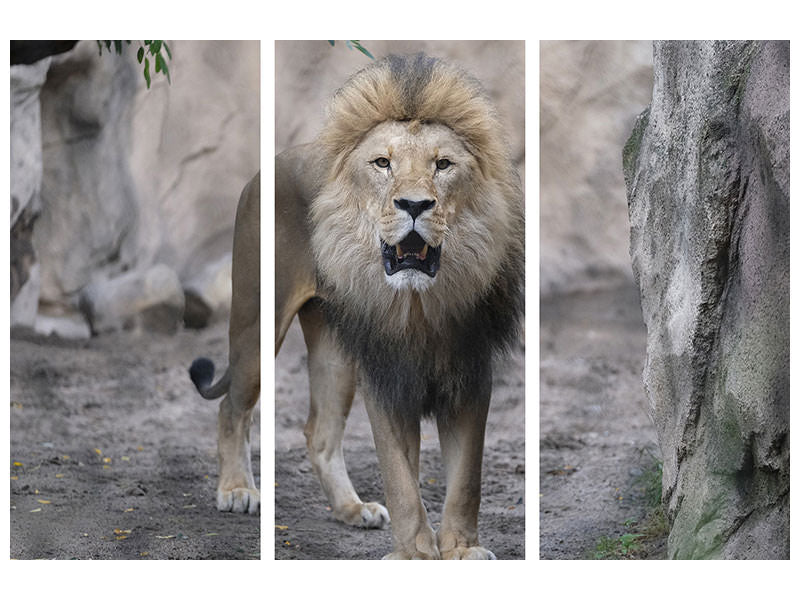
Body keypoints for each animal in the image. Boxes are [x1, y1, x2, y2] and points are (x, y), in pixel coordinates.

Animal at [276, 54, 523, 559]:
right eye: (382, 163)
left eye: (443, 164)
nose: (413, 204)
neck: (417, 309)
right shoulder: (386, 378)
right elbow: (400, 478)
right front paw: (414, 551)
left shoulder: (470, 373)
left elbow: (466, 478)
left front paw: (461, 548)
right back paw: (236, 492)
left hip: (332, 349)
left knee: (320, 432)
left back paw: (352, 510)